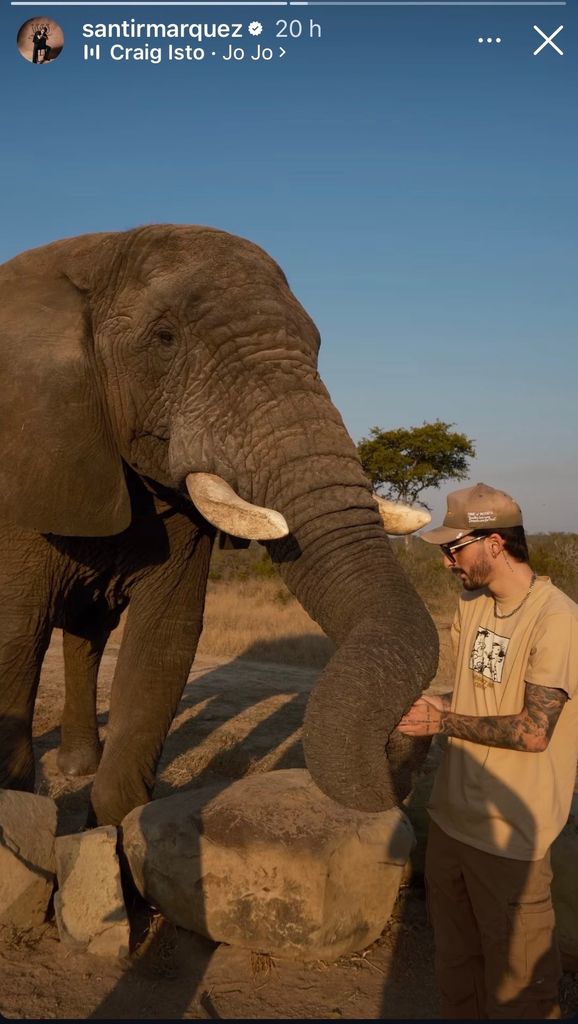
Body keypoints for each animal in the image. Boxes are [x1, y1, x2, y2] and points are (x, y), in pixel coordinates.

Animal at [0, 224, 439, 827]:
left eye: (317, 346)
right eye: (164, 340)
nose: (414, 724)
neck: (95, 254)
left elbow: (163, 640)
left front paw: (113, 831)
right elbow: (16, 632)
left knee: (90, 634)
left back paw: (76, 767)